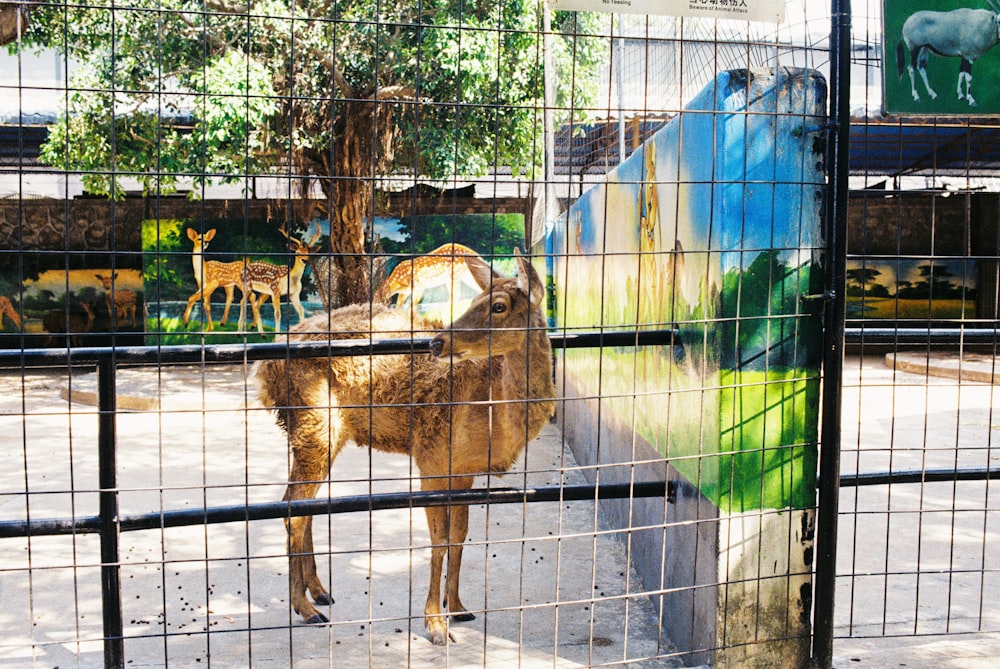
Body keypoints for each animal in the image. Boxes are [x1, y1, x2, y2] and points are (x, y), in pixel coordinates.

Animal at [256, 248, 556, 644]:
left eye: (499, 305)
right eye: (475, 300)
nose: (436, 342)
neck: (496, 415)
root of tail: (263, 368)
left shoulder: (464, 471)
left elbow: (459, 537)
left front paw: (458, 607)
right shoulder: (432, 457)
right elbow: (438, 540)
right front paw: (435, 624)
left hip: (318, 434)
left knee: (301, 504)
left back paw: (319, 591)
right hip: (314, 424)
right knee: (293, 509)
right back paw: (305, 608)